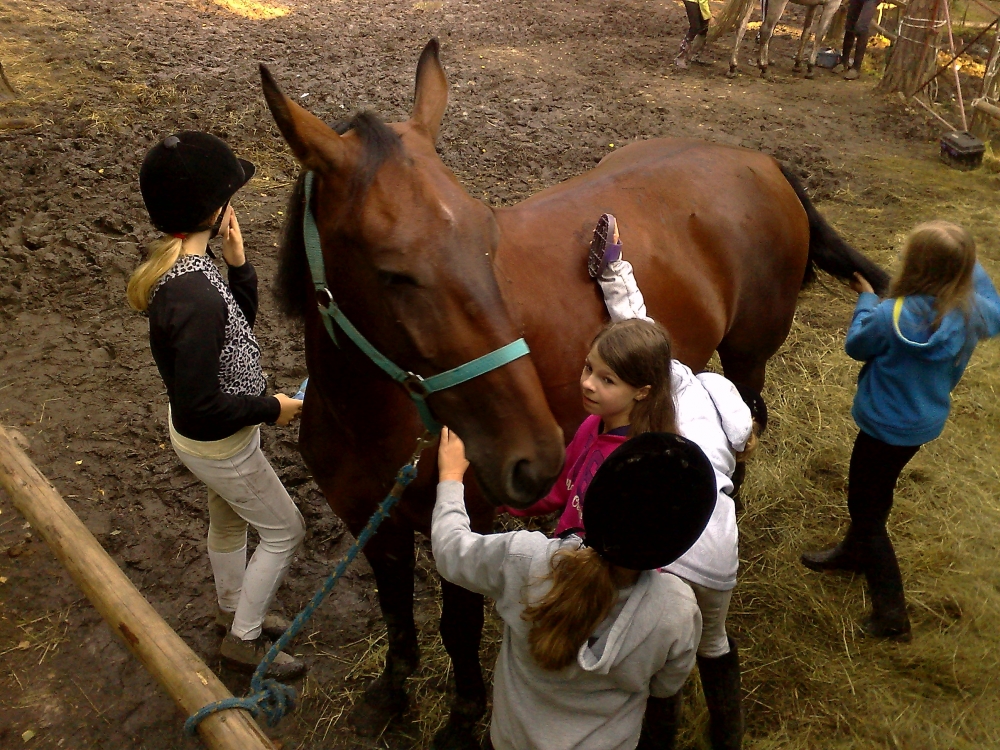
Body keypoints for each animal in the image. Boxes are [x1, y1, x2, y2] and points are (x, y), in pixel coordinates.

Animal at [260, 39, 886, 749]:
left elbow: (458, 626)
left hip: (748, 357)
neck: (365, 418)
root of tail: (759, 160)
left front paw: (462, 718)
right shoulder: (370, 519)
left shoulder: (467, 515)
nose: (531, 456)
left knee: (744, 434)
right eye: (392, 273)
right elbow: (396, 608)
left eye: (488, 239)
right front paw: (391, 693)